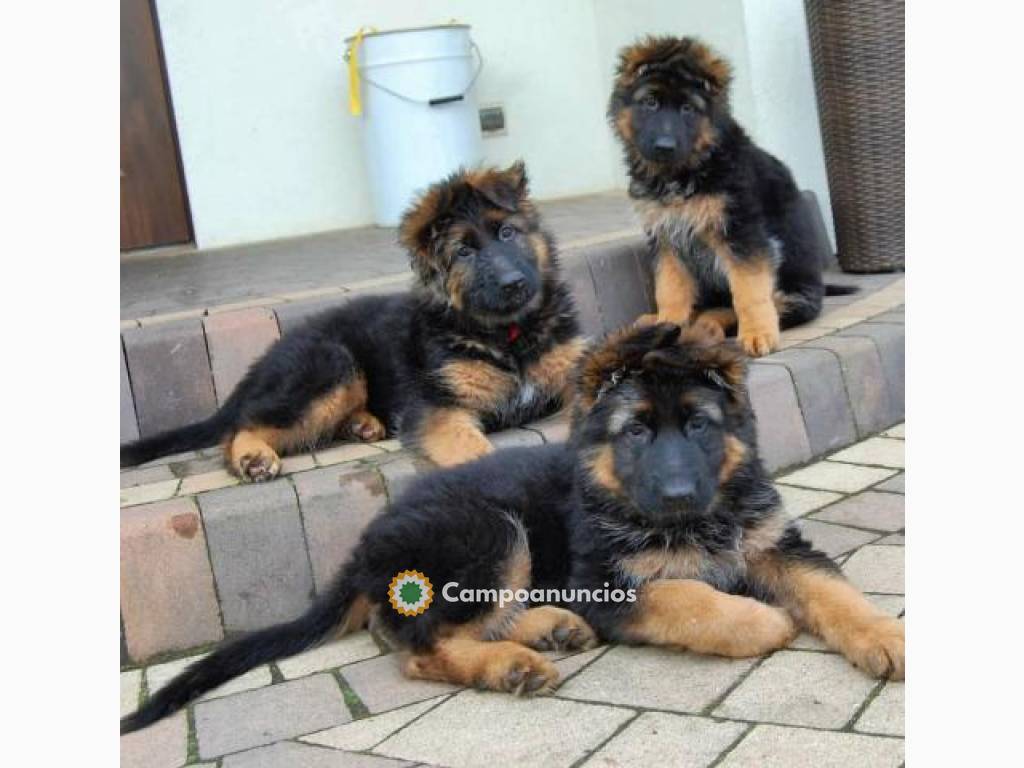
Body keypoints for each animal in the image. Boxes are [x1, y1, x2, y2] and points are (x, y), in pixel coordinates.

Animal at [118, 162, 581, 475]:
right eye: (464, 251)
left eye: (507, 233)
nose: (513, 283)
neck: (510, 336)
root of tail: (265, 359)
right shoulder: (437, 409)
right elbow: (472, 448)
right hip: (331, 364)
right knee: (240, 426)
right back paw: (253, 456)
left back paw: (362, 425)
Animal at [121, 321, 905, 737]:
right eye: (636, 432)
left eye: (700, 427)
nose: (680, 493)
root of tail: (367, 542)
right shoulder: (609, 584)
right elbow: (693, 599)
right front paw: (759, 621)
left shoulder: (776, 545)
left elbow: (834, 593)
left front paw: (886, 637)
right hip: (490, 532)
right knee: (419, 647)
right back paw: (512, 665)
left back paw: (545, 633)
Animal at [602, 36, 851, 358]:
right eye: (650, 103)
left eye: (687, 108)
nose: (664, 147)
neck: (683, 174)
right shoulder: (665, 237)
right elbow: (669, 288)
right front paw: (667, 323)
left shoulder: (741, 231)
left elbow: (748, 290)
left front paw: (757, 334)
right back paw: (657, 321)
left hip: (793, 293)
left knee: (747, 307)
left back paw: (710, 326)